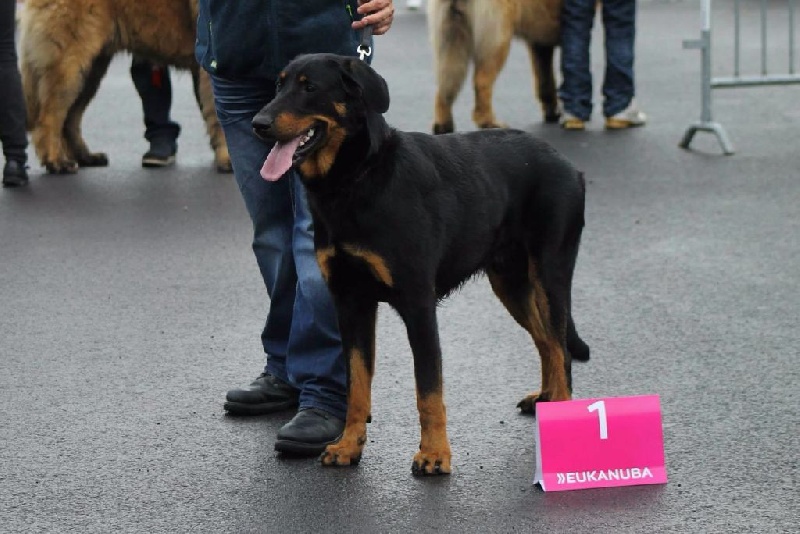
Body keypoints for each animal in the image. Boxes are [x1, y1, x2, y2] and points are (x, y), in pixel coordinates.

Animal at [19, 0, 230, 174]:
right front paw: (228, 158)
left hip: (91, 70)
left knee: (70, 119)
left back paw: (85, 157)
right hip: (70, 66)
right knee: (49, 118)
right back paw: (57, 162)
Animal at [253, 53, 589, 475]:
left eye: (309, 87)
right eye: (278, 85)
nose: (258, 124)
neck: (356, 179)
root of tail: (568, 164)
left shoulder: (418, 304)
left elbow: (428, 389)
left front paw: (434, 454)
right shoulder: (351, 303)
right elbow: (357, 384)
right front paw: (349, 445)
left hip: (550, 273)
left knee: (561, 349)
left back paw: (561, 417)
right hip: (511, 283)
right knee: (546, 341)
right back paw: (545, 400)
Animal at [427, 0, 562, 134]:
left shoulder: (541, 43)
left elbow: (545, 81)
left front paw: (552, 111)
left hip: (452, 40)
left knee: (445, 86)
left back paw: (443, 124)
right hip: (498, 40)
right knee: (481, 81)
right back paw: (488, 121)